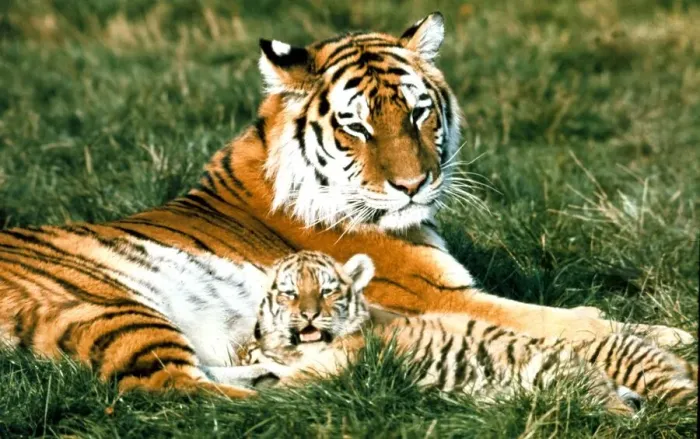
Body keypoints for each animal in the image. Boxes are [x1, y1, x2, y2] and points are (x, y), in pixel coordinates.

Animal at [0, 12, 693, 398]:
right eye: (356, 125)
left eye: (417, 112)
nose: (413, 185)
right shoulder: (440, 294)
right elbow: (573, 320)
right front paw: (674, 337)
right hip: (109, 305)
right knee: (176, 392)